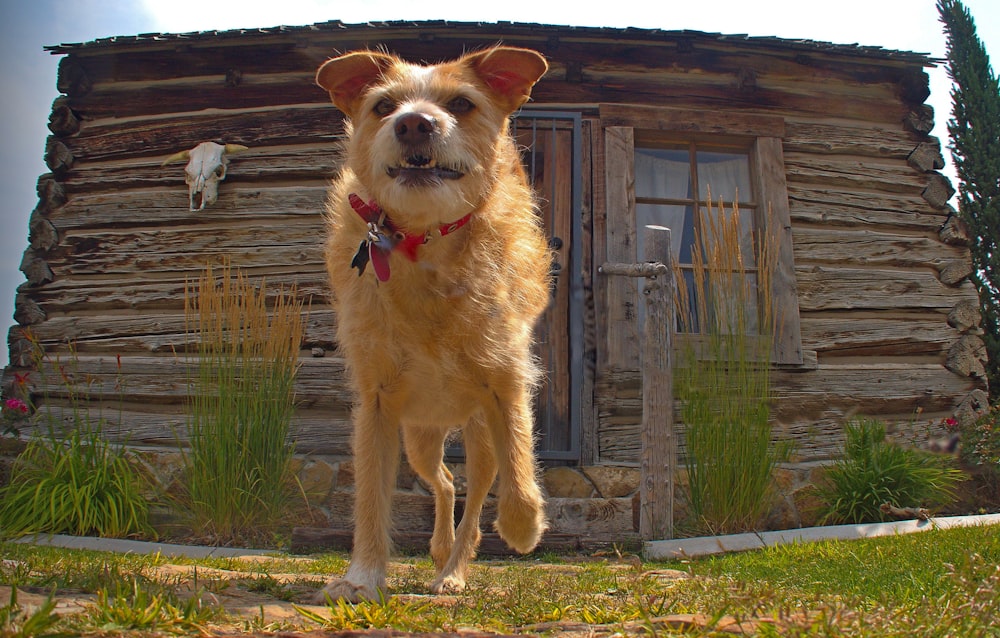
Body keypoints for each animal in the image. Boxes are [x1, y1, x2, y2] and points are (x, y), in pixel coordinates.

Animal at [312, 46, 552, 604]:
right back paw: (442, 552)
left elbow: (520, 456)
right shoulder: (376, 402)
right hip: (420, 436)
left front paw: (525, 524)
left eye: (461, 103)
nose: (414, 123)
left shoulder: (506, 380)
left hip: (478, 433)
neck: (424, 244)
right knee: (443, 481)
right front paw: (363, 576)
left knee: (478, 489)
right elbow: (371, 497)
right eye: (384, 106)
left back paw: (455, 572)